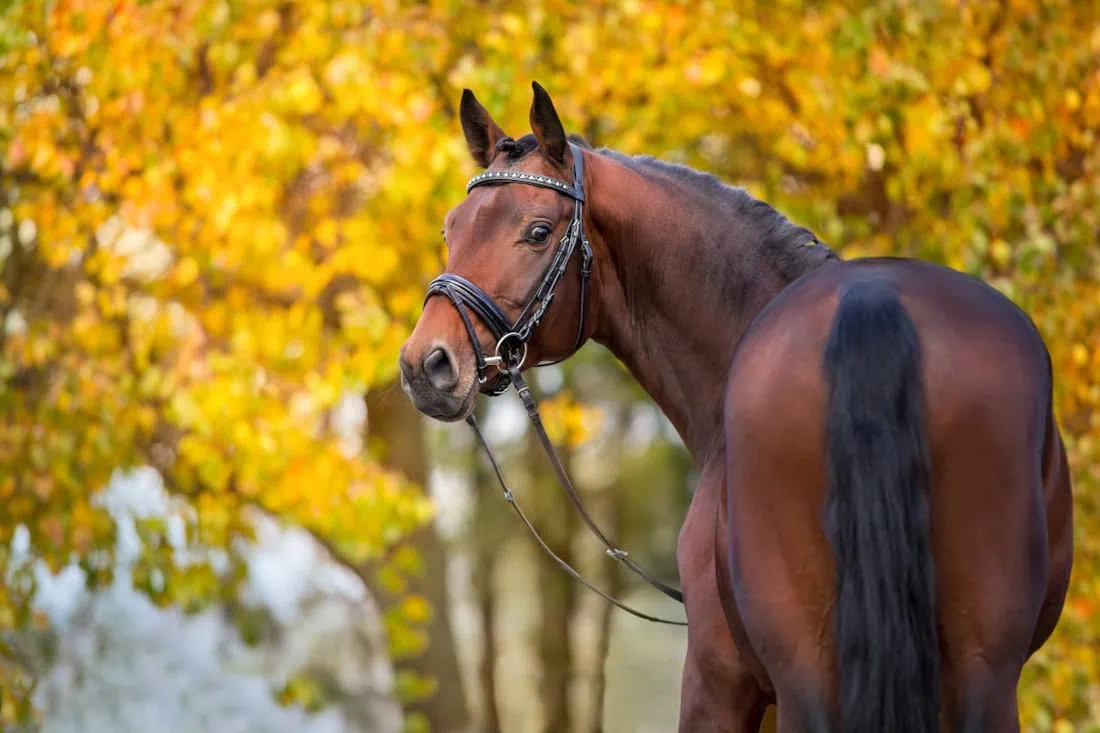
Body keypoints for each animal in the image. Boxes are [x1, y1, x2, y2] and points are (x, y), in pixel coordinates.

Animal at [398, 82, 1073, 726]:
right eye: (450, 228)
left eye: (538, 231)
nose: (425, 365)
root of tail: (874, 303)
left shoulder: (717, 674)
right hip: (980, 668)